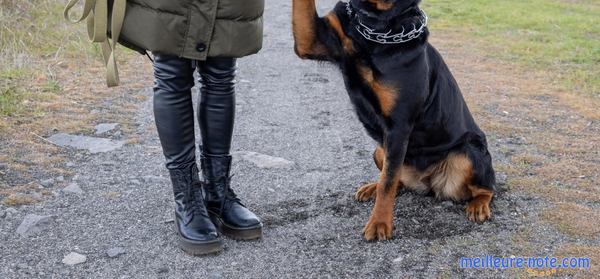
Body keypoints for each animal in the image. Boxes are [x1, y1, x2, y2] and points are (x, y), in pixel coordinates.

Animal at [292, 0, 496, 241]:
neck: (377, 26)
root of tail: (426, 181)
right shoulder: (312, 39)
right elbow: (388, 179)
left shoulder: (399, 125)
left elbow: (387, 183)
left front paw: (379, 222)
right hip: (380, 149)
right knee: (395, 177)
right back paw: (371, 187)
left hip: (468, 153)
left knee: (487, 188)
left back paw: (479, 206)